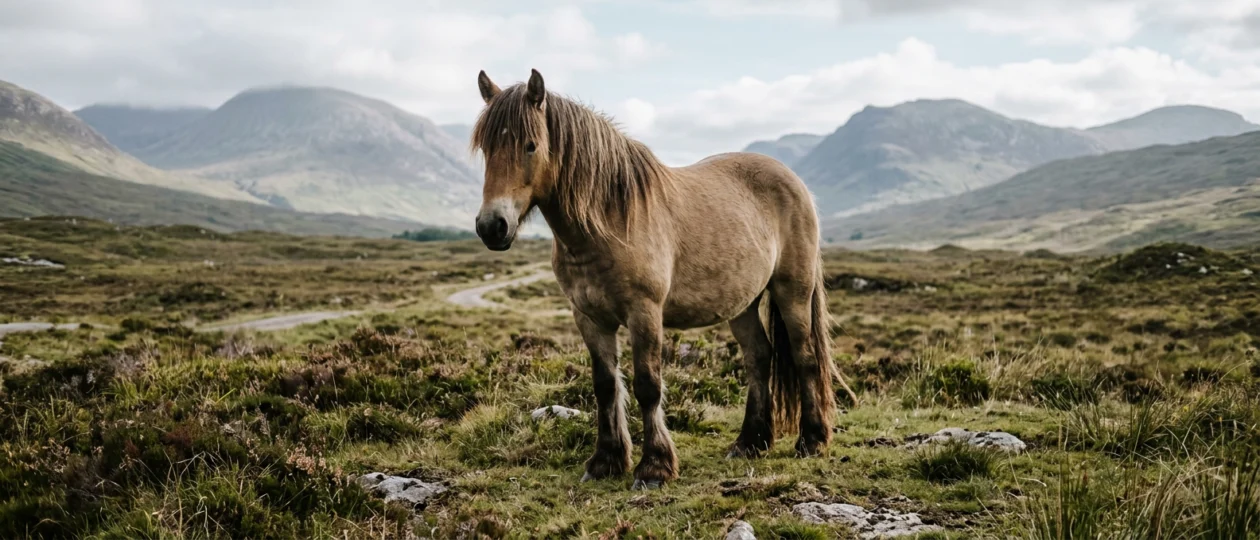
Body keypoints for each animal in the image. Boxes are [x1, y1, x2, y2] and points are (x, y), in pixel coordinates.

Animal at [468, 69, 856, 490]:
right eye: (486, 148)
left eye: (530, 145)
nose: (492, 226)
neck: (610, 220)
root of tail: (792, 180)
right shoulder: (588, 317)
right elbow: (605, 385)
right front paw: (606, 461)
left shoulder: (644, 312)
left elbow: (647, 385)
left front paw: (654, 466)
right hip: (743, 304)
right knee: (759, 357)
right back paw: (750, 442)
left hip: (793, 291)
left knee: (805, 357)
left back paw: (811, 440)